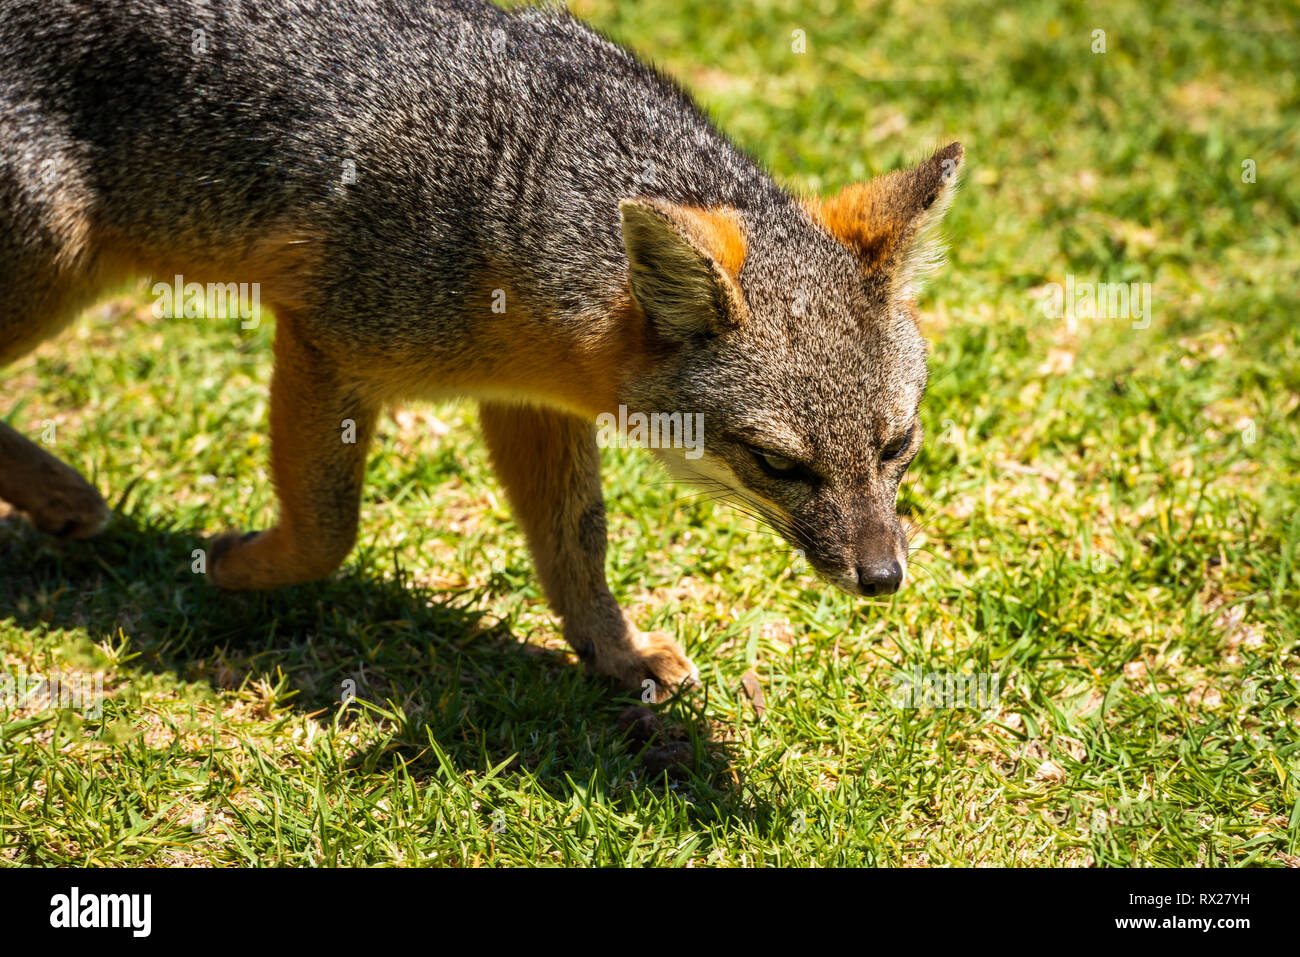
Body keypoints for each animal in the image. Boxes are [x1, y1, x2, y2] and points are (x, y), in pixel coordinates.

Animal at [0, 0, 956, 702]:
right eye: (777, 463)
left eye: (897, 445)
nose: (883, 577)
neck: (514, 196)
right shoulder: (325, 342)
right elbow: (330, 530)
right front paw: (238, 568)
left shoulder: (526, 401)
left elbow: (577, 542)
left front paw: (614, 650)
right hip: (53, 266)